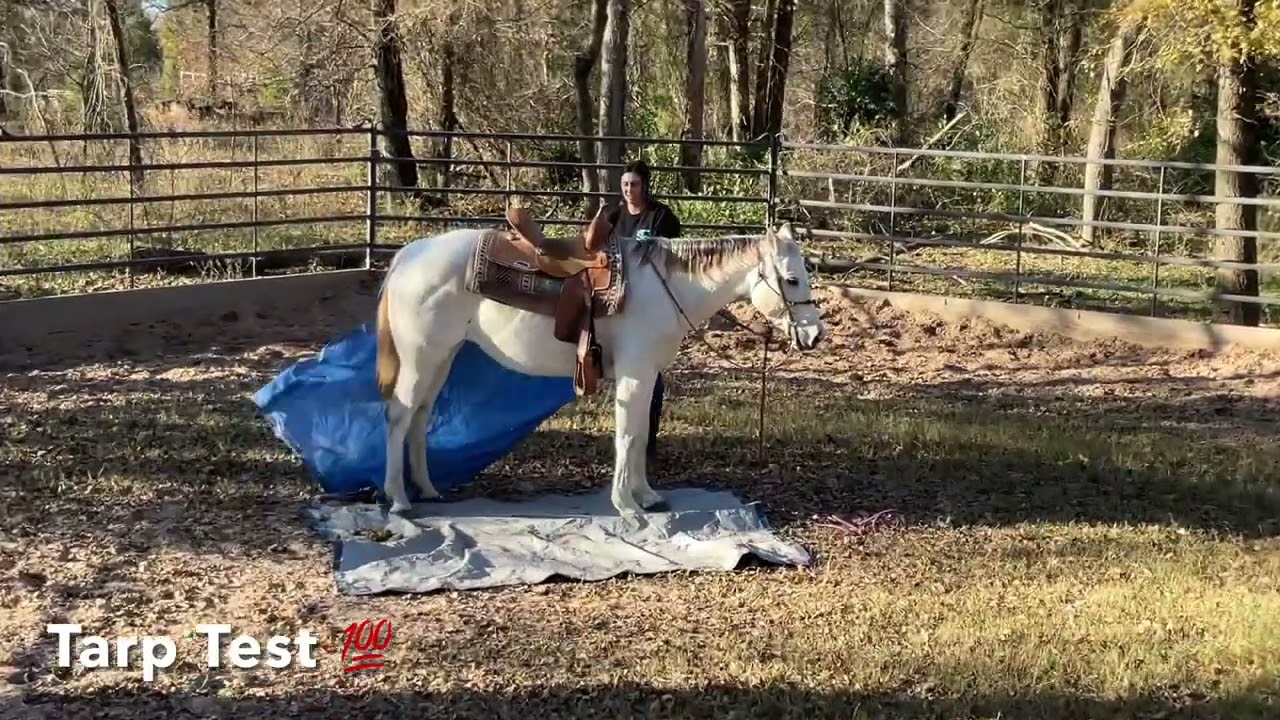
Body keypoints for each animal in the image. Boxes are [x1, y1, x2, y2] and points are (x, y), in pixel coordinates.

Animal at [373, 217, 826, 516]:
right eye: (791, 279)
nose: (815, 335)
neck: (665, 289)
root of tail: (410, 255)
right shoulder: (635, 375)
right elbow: (627, 436)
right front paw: (626, 506)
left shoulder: (647, 376)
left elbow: (640, 434)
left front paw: (646, 496)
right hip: (420, 357)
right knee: (398, 416)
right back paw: (399, 499)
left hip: (443, 357)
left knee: (420, 416)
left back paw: (427, 489)